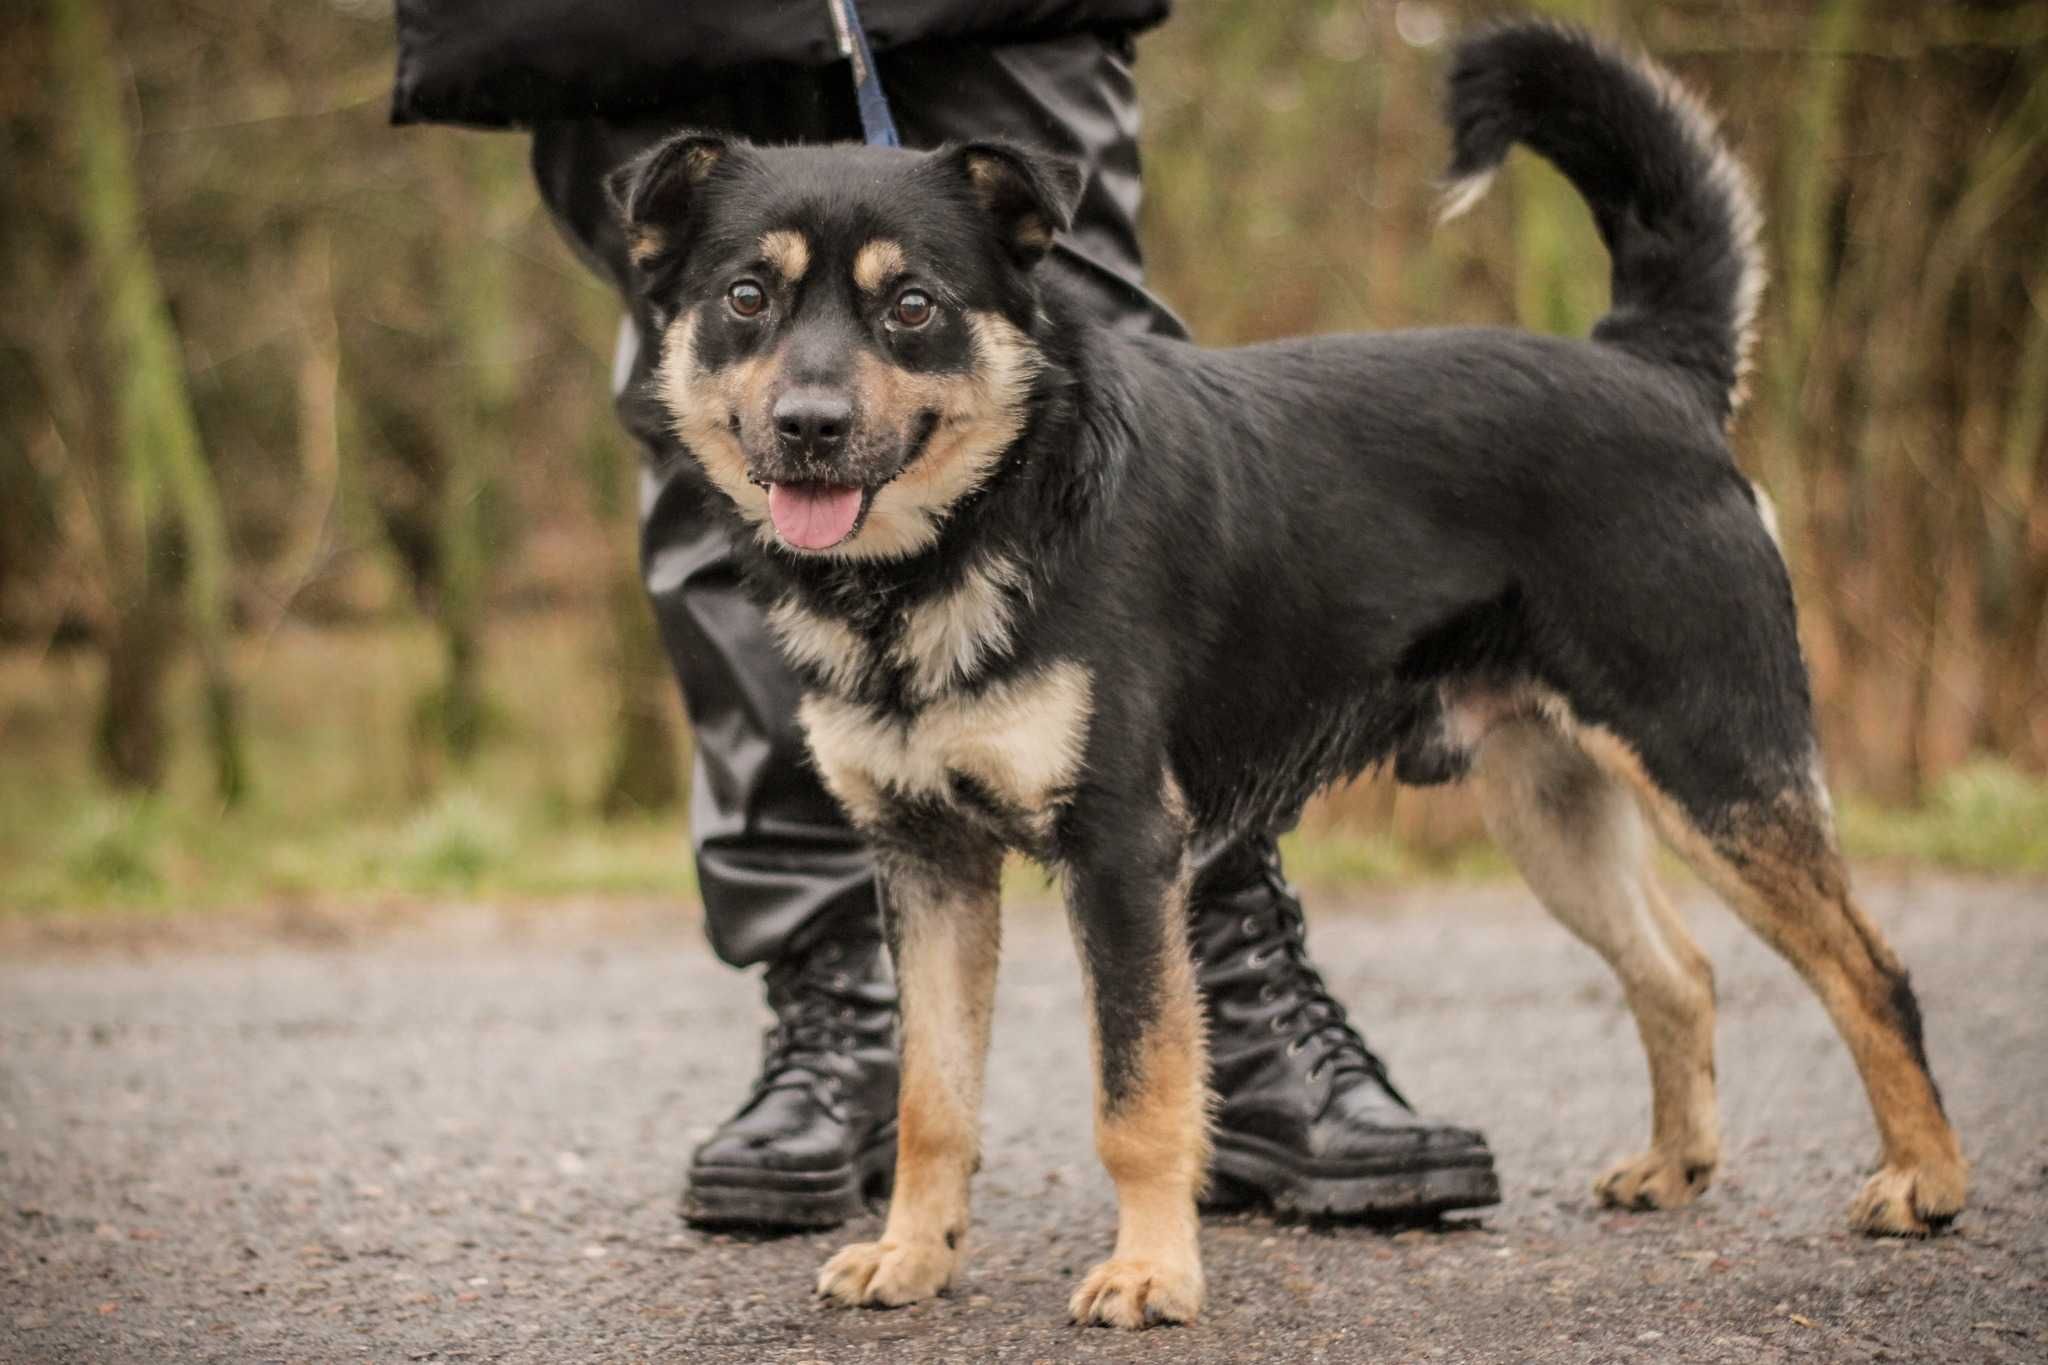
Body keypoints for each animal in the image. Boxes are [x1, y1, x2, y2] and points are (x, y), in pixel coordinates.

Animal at [602, 15, 1966, 1326]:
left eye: (913, 307)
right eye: (745, 295)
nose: (810, 427)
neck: (963, 538)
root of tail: (1653, 369)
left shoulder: (1121, 853)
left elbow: (1138, 1097)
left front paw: (1152, 1275)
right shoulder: (925, 861)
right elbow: (930, 1102)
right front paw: (911, 1257)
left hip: (1710, 764)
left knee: (1871, 971)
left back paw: (1921, 1180)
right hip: (1552, 806)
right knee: (1676, 973)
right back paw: (1676, 1167)